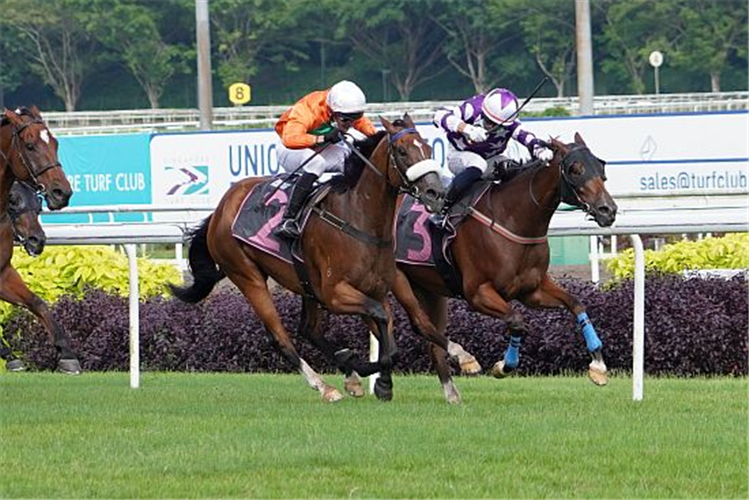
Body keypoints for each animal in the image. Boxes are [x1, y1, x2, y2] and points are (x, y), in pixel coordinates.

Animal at [0, 106, 77, 372]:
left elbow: (37, 302)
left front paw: (66, 353)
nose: (62, 192)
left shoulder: (3, 272)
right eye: (30, 145)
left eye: (55, 142)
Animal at [172, 115, 448, 400]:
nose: (435, 193)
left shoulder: (376, 290)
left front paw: (379, 380)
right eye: (402, 152)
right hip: (247, 275)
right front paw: (370, 374)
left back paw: (348, 374)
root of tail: (220, 209)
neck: (357, 219)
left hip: (306, 284)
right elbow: (381, 320)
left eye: (428, 148)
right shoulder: (334, 294)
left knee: (309, 329)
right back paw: (325, 385)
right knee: (280, 337)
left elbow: (391, 341)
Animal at [392, 133, 612, 402]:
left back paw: (452, 394)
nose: (608, 210)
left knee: (433, 338)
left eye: (601, 167)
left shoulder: (532, 290)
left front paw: (598, 366)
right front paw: (503, 366)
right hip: (398, 279)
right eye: (575, 169)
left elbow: (576, 303)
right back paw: (465, 361)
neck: (513, 218)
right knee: (420, 323)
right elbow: (516, 320)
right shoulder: (477, 293)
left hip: (430, 288)